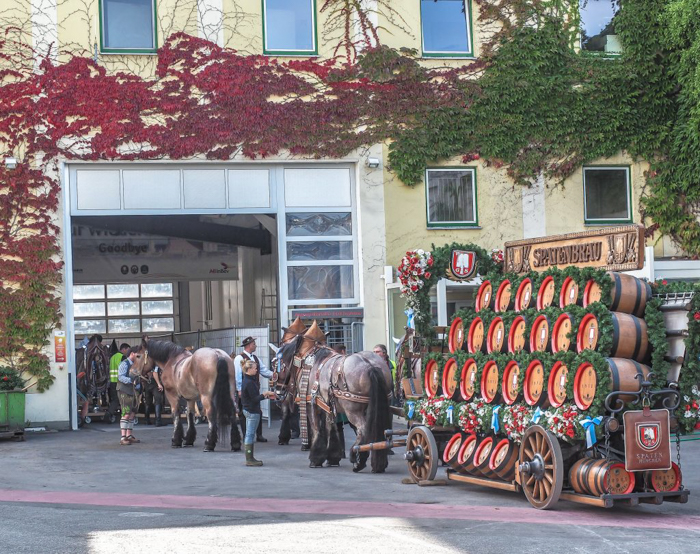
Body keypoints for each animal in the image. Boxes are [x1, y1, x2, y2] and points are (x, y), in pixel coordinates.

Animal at [274, 322, 394, 472]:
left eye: (278, 363)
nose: (277, 390)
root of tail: (369, 365)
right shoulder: (327, 406)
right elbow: (331, 428)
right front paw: (332, 457)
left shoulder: (311, 404)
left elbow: (317, 429)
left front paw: (316, 457)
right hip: (379, 406)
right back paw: (378, 462)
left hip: (353, 410)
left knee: (363, 429)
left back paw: (357, 457)